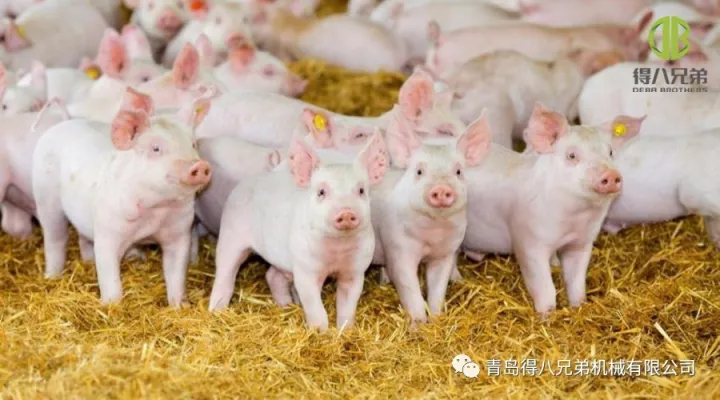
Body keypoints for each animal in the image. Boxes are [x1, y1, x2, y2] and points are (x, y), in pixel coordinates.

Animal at [32, 87, 212, 305]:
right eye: (156, 148)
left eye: (193, 144)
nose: (199, 165)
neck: (156, 210)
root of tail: (64, 122)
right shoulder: (107, 232)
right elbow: (110, 279)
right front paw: (112, 305)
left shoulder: (180, 232)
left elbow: (176, 274)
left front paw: (180, 306)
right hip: (44, 195)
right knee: (54, 238)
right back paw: (52, 275)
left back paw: (87, 261)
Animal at [208, 130, 389, 332]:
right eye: (321, 192)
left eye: (361, 190)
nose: (346, 212)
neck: (337, 249)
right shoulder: (305, 269)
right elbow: (316, 309)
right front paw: (320, 333)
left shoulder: (356, 271)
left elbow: (347, 307)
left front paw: (345, 332)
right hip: (230, 234)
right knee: (225, 273)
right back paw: (215, 310)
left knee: (272, 276)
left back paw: (286, 306)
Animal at [369, 104, 490, 325]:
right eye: (419, 171)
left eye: (458, 171)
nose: (441, 188)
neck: (433, 233)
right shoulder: (398, 247)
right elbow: (410, 290)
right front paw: (419, 326)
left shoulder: (447, 251)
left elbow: (438, 288)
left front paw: (437, 319)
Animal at [459, 103, 634, 315]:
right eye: (572, 155)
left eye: (610, 152)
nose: (610, 174)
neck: (576, 218)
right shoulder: (529, 242)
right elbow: (544, 287)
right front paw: (547, 315)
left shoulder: (582, 243)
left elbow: (576, 282)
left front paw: (578, 306)